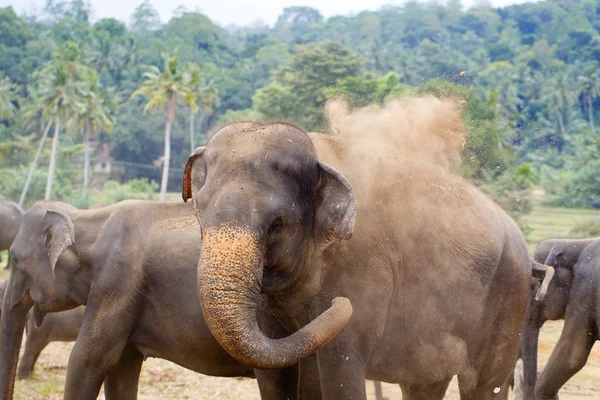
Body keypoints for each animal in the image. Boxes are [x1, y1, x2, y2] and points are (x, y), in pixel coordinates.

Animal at [182, 122, 536, 400]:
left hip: (509, 295)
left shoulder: (362, 267)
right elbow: (274, 371)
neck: (319, 154)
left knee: (484, 384)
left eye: (276, 224)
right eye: (199, 213)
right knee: (424, 384)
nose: (341, 303)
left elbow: (340, 367)